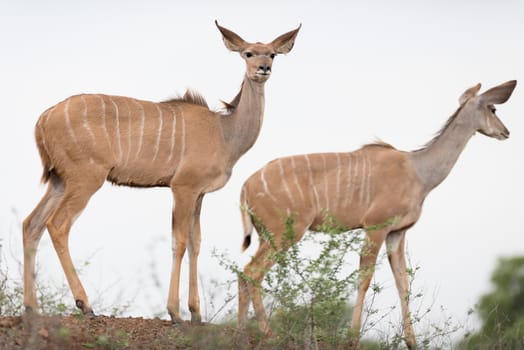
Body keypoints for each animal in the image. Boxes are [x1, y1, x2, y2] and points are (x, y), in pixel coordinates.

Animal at [22, 21, 300, 322]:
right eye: (248, 53)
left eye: (272, 54)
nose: (263, 68)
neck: (224, 133)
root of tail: (44, 119)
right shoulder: (183, 187)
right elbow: (179, 242)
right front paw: (175, 313)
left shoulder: (199, 194)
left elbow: (195, 243)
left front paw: (196, 313)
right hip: (85, 179)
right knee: (57, 225)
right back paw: (85, 304)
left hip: (60, 181)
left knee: (31, 224)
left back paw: (31, 307)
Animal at [237, 80, 516, 348]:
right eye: (493, 109)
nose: (506, 132)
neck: (418, 172)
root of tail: (246, 186)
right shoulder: (376, 227)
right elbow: (365, 278)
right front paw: (352, 338)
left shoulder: (397, 233)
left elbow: (403, 282)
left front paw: (412, 342)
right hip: (284, 233)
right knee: (252, 273)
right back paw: (268, 334)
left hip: (267, 236)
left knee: (243, 274)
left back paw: (243, 333)